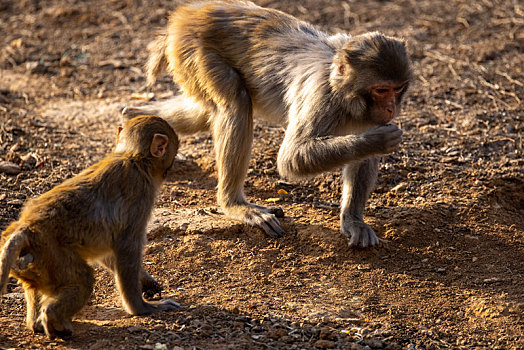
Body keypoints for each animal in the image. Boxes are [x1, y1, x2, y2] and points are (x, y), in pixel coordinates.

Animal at [0, 115, 180, 340]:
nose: (171, 167)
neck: (132, 157)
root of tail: (26, 228)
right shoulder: (141, 194)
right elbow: (126, 248)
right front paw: (142, 308)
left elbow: (109, 253)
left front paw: (147, 280)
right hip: (54, 256)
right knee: (83, 280)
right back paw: (54, 319)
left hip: (34, 263)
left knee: (36, 285)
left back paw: (37, 324)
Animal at [124, 1, 414, 249]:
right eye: (381, 90)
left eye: (397, 89)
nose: (391, 108)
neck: (342, 90)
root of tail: (187, 12)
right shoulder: (320, 96)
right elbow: (291, 159)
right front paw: (378, 140)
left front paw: (353, 220)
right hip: (193, 48)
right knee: (236, 104)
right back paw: (234, 204)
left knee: (204, 112)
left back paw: (131, 117)